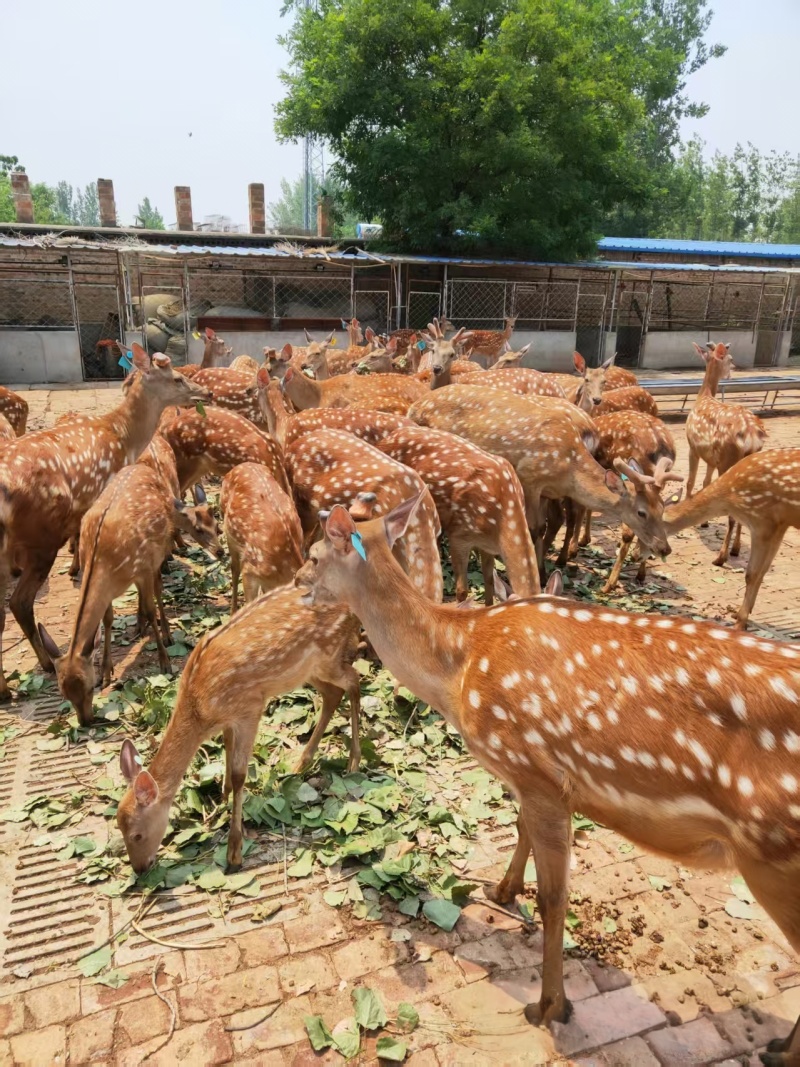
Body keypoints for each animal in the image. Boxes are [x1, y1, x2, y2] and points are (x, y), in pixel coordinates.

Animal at [0, 345, 210, 701]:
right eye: (177, 378)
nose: (205, 392)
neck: (125, 438)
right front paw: (139, 624)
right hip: (40, 538)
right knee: (20, 602)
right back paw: (45, 665)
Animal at [38, 435, 221, 725]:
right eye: (63, 691)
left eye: (87, 688)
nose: (86, 721)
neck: (106, 562)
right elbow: (107, 619)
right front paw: (107, 670)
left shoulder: (143, 567)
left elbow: (151, 603)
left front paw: (165, 661)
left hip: (156, 553)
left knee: (158, 590)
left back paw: (165, 633)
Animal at [116, 584, 362, 873]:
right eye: (120, 829)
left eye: (137, 835)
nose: (139, 869)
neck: (201, 709)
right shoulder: (230, 718)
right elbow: (226, 748)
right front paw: (220, 799)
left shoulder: (250, 707)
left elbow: (239, 775)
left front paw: (234, 852)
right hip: (307, 671)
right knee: (333, 693)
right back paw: (300, 763)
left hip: (328, 656)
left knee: (354, 680)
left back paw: (354, 761)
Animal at [296, 493, 800, 1066]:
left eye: (315, 555)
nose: (297, 582)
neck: (459, 669)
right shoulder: (529, 775)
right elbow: (520, 831)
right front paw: (501, 888)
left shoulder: (539, 774)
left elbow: (555, 897)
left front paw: (549, 1005)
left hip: (772, 854)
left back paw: (781, 1051)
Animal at [686, 341, 767, 566]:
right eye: (731, 359)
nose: (734, 370)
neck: (703, 396)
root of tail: (752, 436)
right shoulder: (710, 458)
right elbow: (705, 483)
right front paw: (704, 523)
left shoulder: (692, 447)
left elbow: (691, 482)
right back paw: (736, 549)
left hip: (727, 459)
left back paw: (721, 556)